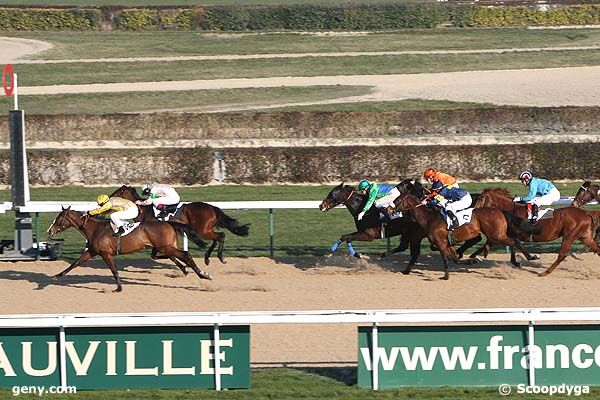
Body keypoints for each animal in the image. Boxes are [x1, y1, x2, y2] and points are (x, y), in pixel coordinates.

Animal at [47, 208, 211, 292]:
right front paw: (57, 275)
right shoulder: (92, 251)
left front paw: (118, 288)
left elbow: (114, 270)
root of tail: (168, 222)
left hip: (165, 246)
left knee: (185, 254)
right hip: (167, 246)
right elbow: (75, 263)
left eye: (59, 218)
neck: (95, 228)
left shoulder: (106, 253)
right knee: (179, 256)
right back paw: (191, 271)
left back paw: (203, 274)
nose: (50, 230)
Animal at [110, 186, 248, 268]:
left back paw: (219, 258)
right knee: (217, 237)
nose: (109, 198)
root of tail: (213, 208)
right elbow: (161, 255)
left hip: (202, 230)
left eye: (117, 192)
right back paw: (207, 258)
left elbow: (162, 254)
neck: (143, 211)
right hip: (206, 229)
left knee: (220, 236)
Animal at [396, 192, 532, 280]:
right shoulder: (448, 243)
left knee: (514, 241)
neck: (429, 218)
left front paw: (445, 276)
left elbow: (446, 259)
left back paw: (529, 257)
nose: (392, 211)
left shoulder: (441, 243)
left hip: (496, 236)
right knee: (514, 241)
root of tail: (500, 211)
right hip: (497, 235)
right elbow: (455, 259)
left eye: (397, 200)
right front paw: (471, 261)